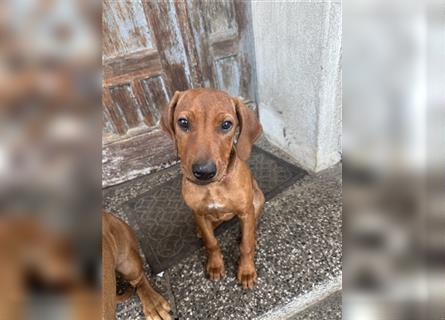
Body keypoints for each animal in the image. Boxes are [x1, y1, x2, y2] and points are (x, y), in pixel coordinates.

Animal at [160, 89, 264, 288]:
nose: (204, 172)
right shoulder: (198, 213)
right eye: (183, 122)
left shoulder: (246, 211)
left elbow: (246, 246)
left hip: (258, 199)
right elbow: (212, 243)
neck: (214, 186)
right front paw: (215, 265)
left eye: (226, 125)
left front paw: (246, 270)